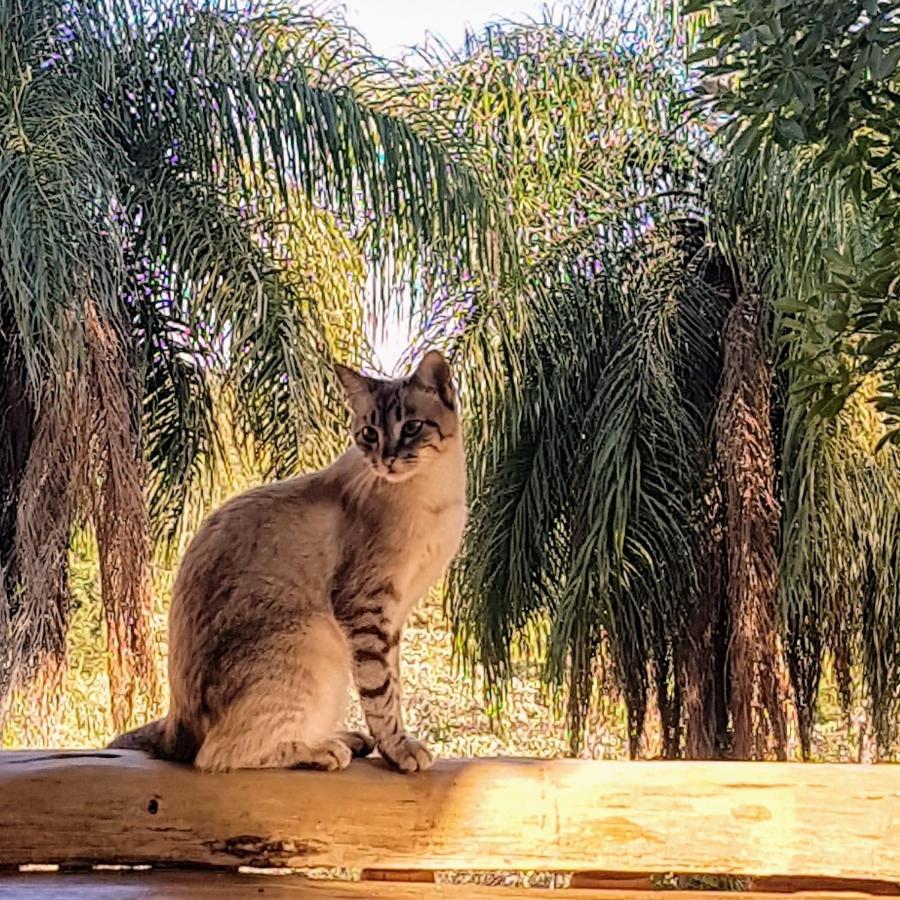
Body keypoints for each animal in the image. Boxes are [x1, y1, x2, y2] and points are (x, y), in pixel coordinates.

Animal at [109, 352, 468, 772]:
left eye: (411, 428)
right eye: (369, 434)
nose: (387, 460)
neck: (435, 493)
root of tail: (173, 724)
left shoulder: (393, 618)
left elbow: (391, 682)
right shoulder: (368, 609)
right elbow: (381, 693)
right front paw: (400, 749)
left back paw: (346, 738)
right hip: (315, 636)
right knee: (217, 755)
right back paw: (325, 749)